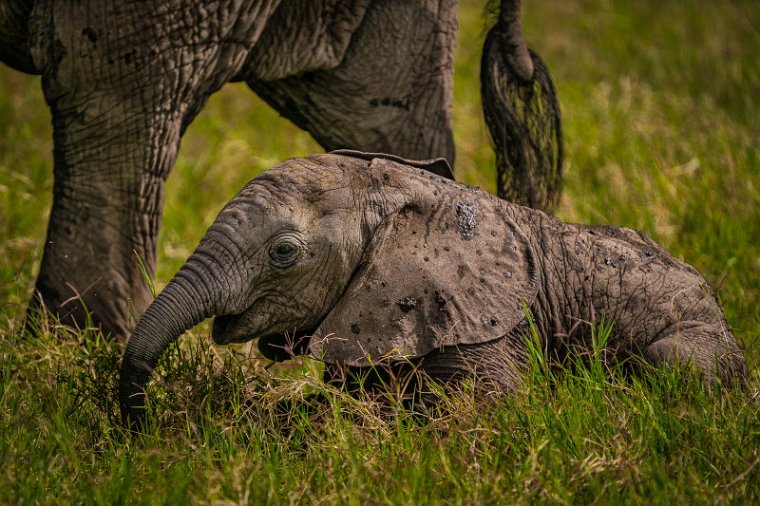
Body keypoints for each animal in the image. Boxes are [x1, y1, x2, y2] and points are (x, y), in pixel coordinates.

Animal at [120, 151, 748, 426]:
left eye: (283, 253)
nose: (140, 425)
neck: (393, 186)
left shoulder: (483, 323)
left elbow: (489, 412)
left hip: (697, 343)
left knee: (673, 363)